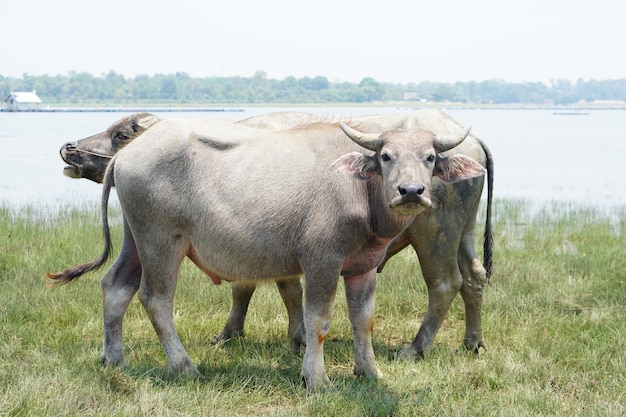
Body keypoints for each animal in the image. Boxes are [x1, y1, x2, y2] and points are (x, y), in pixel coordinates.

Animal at [48, 118, 486, 390]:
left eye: (430, 157)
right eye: (385, 156)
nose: (411, 191)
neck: (358, 188)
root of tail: (128, 155)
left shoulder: (362, 267)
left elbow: (364, 322)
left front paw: (370, 371)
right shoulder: (321, 261)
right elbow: (317, 321)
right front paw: (315, 378)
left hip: (134, 237)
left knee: (115, 286)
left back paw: (114, 359)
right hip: (161, 240)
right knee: (156, 299)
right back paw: (185, 366)